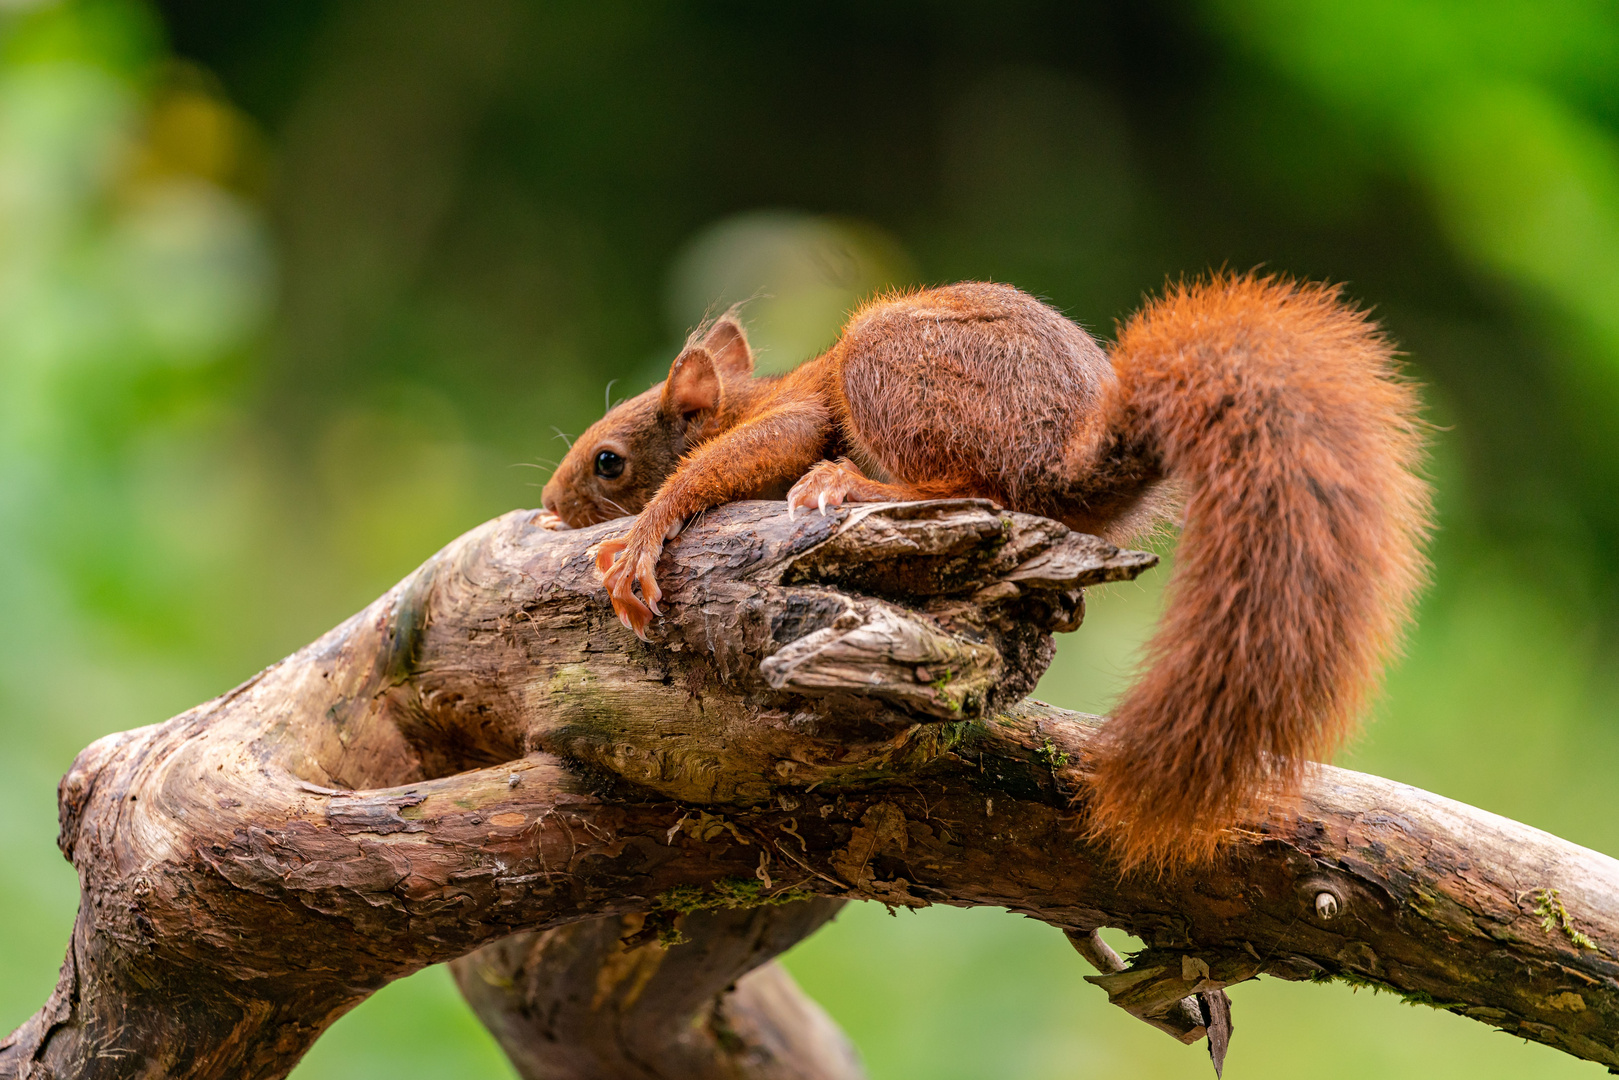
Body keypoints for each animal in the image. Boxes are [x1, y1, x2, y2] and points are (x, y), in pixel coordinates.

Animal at [540, 278, 1431, 867]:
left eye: (608, 461)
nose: (547, 501)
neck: (742, 397)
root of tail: (1065, 462)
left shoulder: (794, 415)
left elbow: (746, 455)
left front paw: (639, 538)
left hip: (887, 361)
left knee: (975, 485)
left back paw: (853, 486)